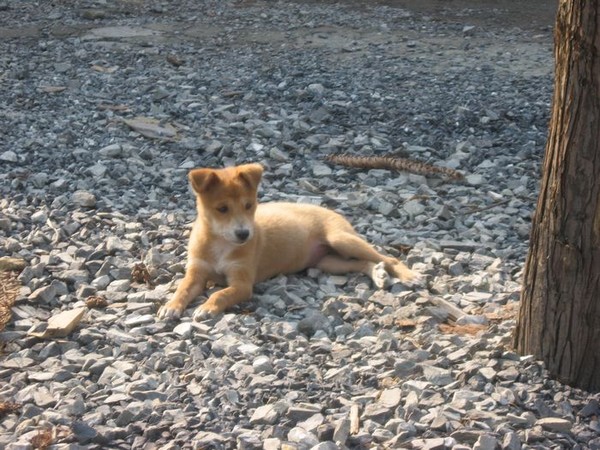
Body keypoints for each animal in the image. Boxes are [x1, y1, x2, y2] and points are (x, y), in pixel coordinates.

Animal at [157, 162, 420, 320]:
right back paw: (378, 274)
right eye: (222, 209)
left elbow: (220, 294)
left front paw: (207, 307)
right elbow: (182, 288)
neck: (220, 244)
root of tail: (331, 210)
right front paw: (171, 306)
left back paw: (408, 276)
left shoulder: (242, 284)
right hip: (328, 262)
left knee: (388, 258)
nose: (245, 235)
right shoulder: (196, 272)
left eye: (249, 205)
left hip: (341, 239)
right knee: (363, 263)